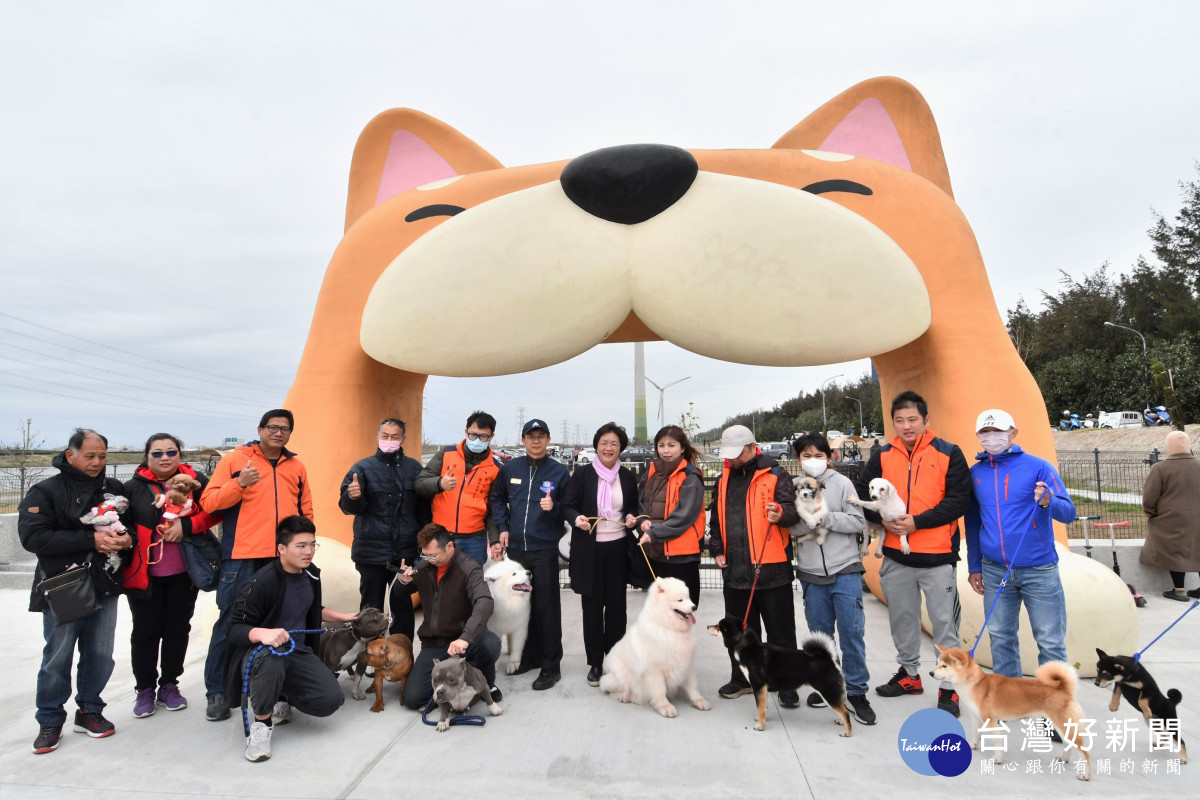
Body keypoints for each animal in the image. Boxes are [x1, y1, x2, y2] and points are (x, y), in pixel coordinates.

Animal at [600, 575, 710, 719]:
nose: (694, 607)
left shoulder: (686, 664)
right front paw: (665, 707)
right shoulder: (654, 671)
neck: (668, 628)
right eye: (679, 600)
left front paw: (699, 701)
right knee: (610, 688)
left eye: (688, 597)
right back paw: (625, 696)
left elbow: (693, 686)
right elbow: (660, 691)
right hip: (619, 677)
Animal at [710, 618, 854, 734]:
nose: (707, 626)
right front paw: (761, 718)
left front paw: (760, 726)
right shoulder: (763, 689)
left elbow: (760, 706)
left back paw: (847, 731)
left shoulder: (758, 686)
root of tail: (827, 658)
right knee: (843, 706)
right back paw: (841, 722)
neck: (749, 648)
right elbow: (763, 706)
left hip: (827, 691)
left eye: (719, 627)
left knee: (845, 711)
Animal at [931, 642, 1094, 782]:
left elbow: (997, 742)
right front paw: (972, 745)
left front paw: (997, 759)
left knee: (1085, 753)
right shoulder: (975, 717)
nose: (930, 673)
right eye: (937, 663)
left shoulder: (990, 720)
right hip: (1062, 726)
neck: (975, 683)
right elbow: (976, 734)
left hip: (1064, 725)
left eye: (944, 666)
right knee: (1069, 744)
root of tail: (1063, 689)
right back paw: (1064, 758)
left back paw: (1085, 775)